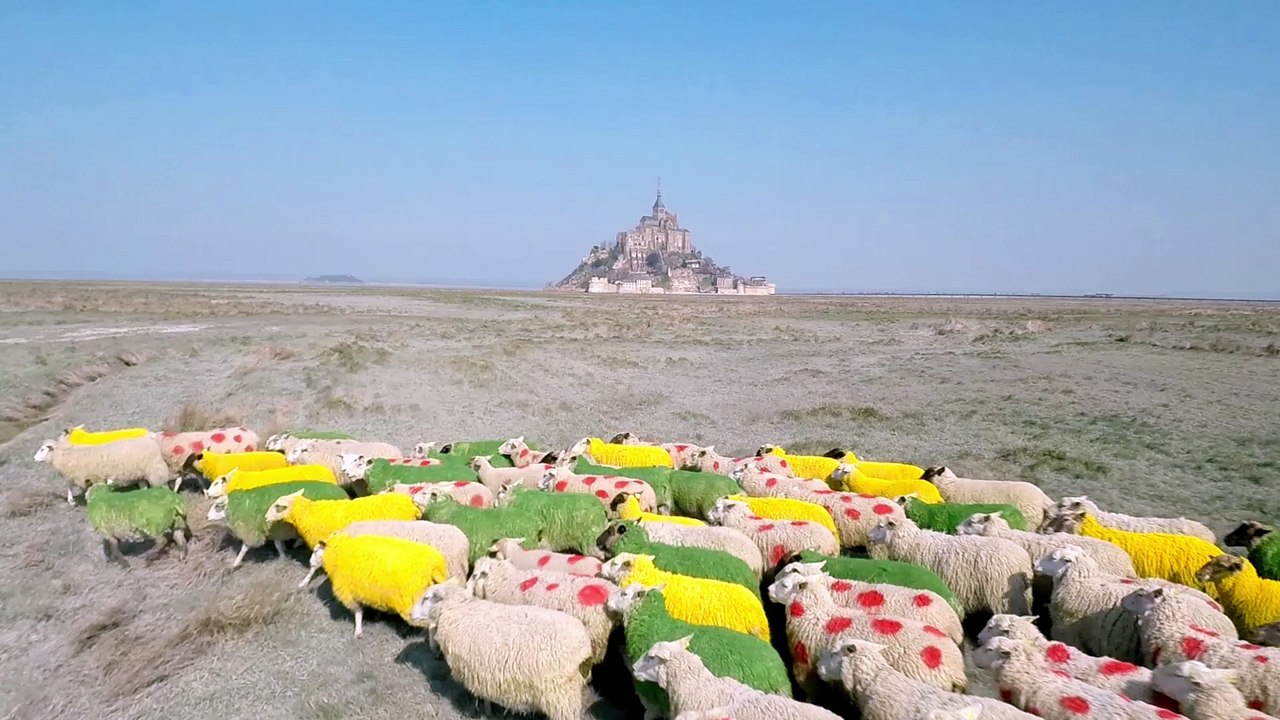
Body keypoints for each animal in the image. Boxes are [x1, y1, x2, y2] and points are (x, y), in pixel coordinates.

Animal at [35, 435, 170, 504]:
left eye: (42, 449)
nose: (34, 458)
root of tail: (151, 440)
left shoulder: (89, 476)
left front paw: (73, 500)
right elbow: (70, 485)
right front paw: (71, 499)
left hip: (154, 468)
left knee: (162, 484)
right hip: (139, 473)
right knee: (144, 486)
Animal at [206, 481, 349, 567]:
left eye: (217, 506)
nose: (207, 516)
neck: (243, 505)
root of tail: (343, 492)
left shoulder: (252, 531)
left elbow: (244, 549)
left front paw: (235, 563)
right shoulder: (275, 531)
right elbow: (278, 545)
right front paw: (283, 556)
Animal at [308, 531, 448, 638]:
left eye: (315, 551)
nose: (310, 563)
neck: (340, 553)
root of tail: (433, 567)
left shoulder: (348, 594)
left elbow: (358, 612)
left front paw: (358, 631)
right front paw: (377, 616)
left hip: (412, 602)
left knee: (431, 623)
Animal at [409, 579, 594, 720]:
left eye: (426, 598)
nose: (410, 614)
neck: (457, 610)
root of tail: (584, 647)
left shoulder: (476, 671)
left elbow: (483, 698)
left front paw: (485, 712)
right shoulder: (482, 672)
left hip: (561, 696)